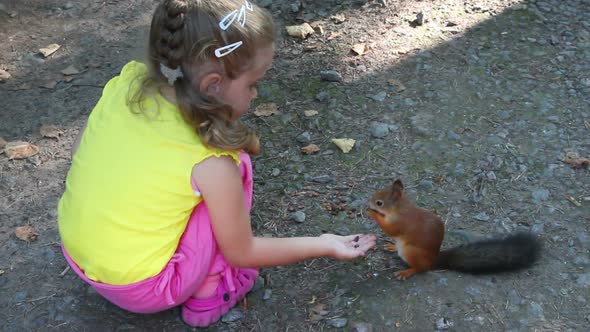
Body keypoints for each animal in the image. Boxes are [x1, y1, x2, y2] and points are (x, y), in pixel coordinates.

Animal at [368, 179, 544, 280]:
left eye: (379, 203)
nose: (367, 203)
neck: (399, 209)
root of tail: (434, 260)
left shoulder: (402, 223)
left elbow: (391, 229)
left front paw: (372, 214)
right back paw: (393, 247)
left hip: (412, 252)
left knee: (421, 268)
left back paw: (407, 272)